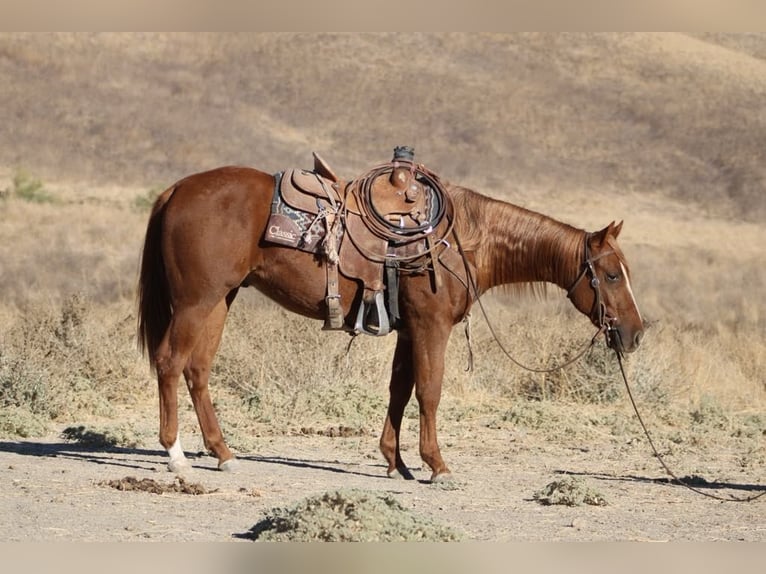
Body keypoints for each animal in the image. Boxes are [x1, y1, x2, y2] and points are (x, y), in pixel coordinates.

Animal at [135, 163, 644, 486]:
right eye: (611, 275)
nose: (635, 332)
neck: (465, 240)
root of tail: (176, 190)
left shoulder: (408, 329)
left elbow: (400, 390)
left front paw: (395, 462)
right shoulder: (431, 327)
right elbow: (430, 391)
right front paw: (436, 465)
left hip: (221, 300)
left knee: (197, 370)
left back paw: (223, 454)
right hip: (195, 301)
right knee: (169, 362)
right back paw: (176, 456)